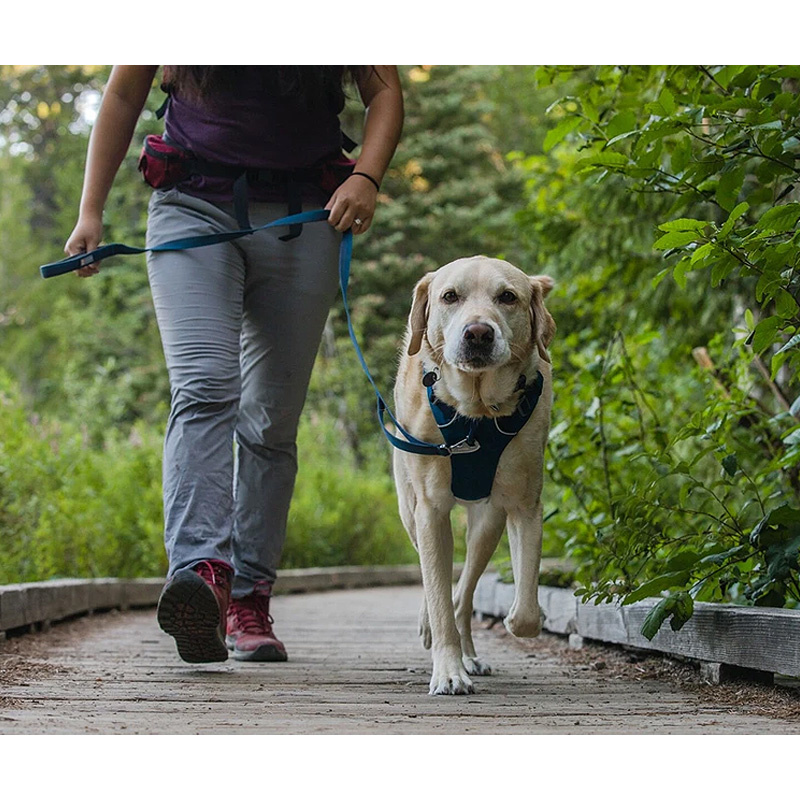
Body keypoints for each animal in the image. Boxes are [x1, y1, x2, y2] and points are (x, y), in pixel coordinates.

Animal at [390, 256, 552, 692]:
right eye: (450, 296)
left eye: (507, 297)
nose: (478, 332)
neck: (476, 416)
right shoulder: (429, 512)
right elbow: (437, 593)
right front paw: (448, 671)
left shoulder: (525, 505)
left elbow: (526, 608)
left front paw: (515, 619)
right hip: (409, 512)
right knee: (439, 586)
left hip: (486, 523)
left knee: (462, 593)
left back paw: (470, 654)